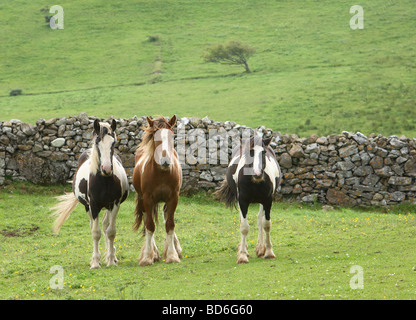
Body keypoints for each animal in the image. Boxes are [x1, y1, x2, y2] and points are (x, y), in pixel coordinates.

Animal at [52, 119, 129, 268]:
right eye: (97, 142)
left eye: (113, 143)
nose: (106, 169)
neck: (104, 180)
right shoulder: (93, 206)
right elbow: (95, 232)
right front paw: (95, 262)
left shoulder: (115, 204)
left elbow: (111, 232)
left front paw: (111, 260)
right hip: (88, 207)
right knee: (95, 226)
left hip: (108, 207)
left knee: (106, 225)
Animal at [132, 114, 180, 264]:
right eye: (154, 136)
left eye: (171, 135)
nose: (165, 161)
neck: (162, 174)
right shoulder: (148, 199)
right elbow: (150, 226)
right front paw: (148, 257)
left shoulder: (173, 198)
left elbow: (170, 224)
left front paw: (172, 255)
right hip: (144, 201)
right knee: (147, 218)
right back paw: (154, 253)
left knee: (165, 216)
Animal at [214, 136, 282, 264]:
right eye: (249, 152)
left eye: (263, 152)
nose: (257, 173)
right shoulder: (242, 201)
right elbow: (244, 227)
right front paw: (242, 256)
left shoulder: (268, 201)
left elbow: (266, 225)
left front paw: (269, 252)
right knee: (243, 220)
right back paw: (245, 249)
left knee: (260, 220)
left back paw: (260, 249)